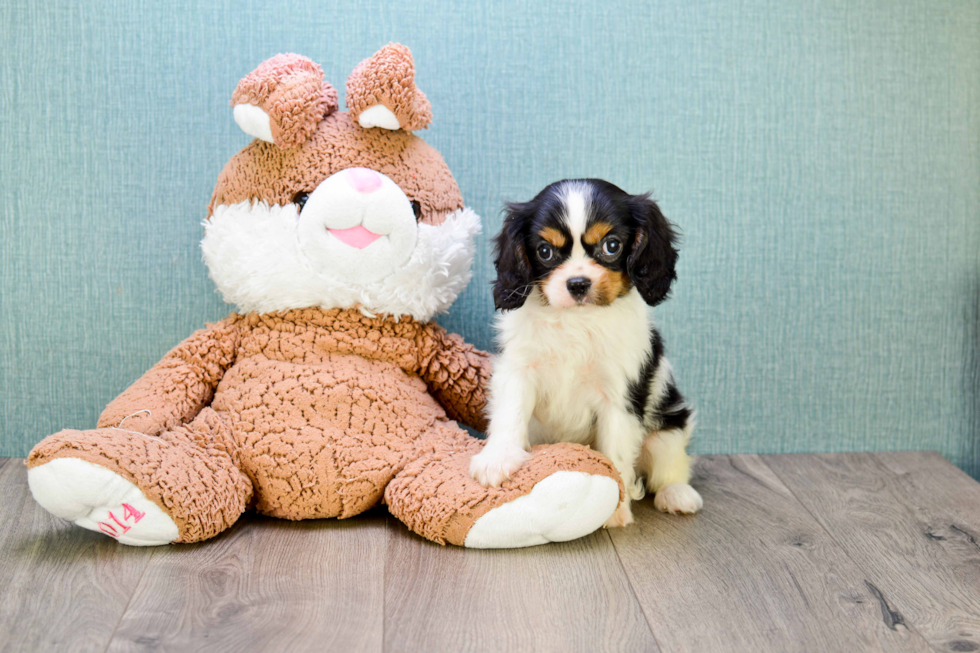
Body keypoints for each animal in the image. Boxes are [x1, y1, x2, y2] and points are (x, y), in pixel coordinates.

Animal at [468, 177, 704, 524]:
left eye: (612, 246)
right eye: (545, 251)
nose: (578, 283)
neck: (576, 320)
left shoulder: (620, 396)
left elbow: (615, 453)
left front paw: (615, 509)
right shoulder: (518, 371)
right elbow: (509, 415)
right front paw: (497, 459)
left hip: (668, 427)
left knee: (671, 466)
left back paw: (676, 494)